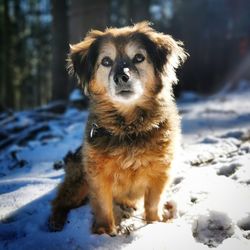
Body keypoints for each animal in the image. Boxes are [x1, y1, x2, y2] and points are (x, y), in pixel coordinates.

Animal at [48, 21, 187, 236]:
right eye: (106, 61)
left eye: (139, 58)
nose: (122, 76)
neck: (129, 127)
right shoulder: (97, 176)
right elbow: (103, 206)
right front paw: (104, 231)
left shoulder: (161, 172)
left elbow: (153, 202)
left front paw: (154, 223)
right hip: (79, 182)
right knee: (59, 202)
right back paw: (56, 221)